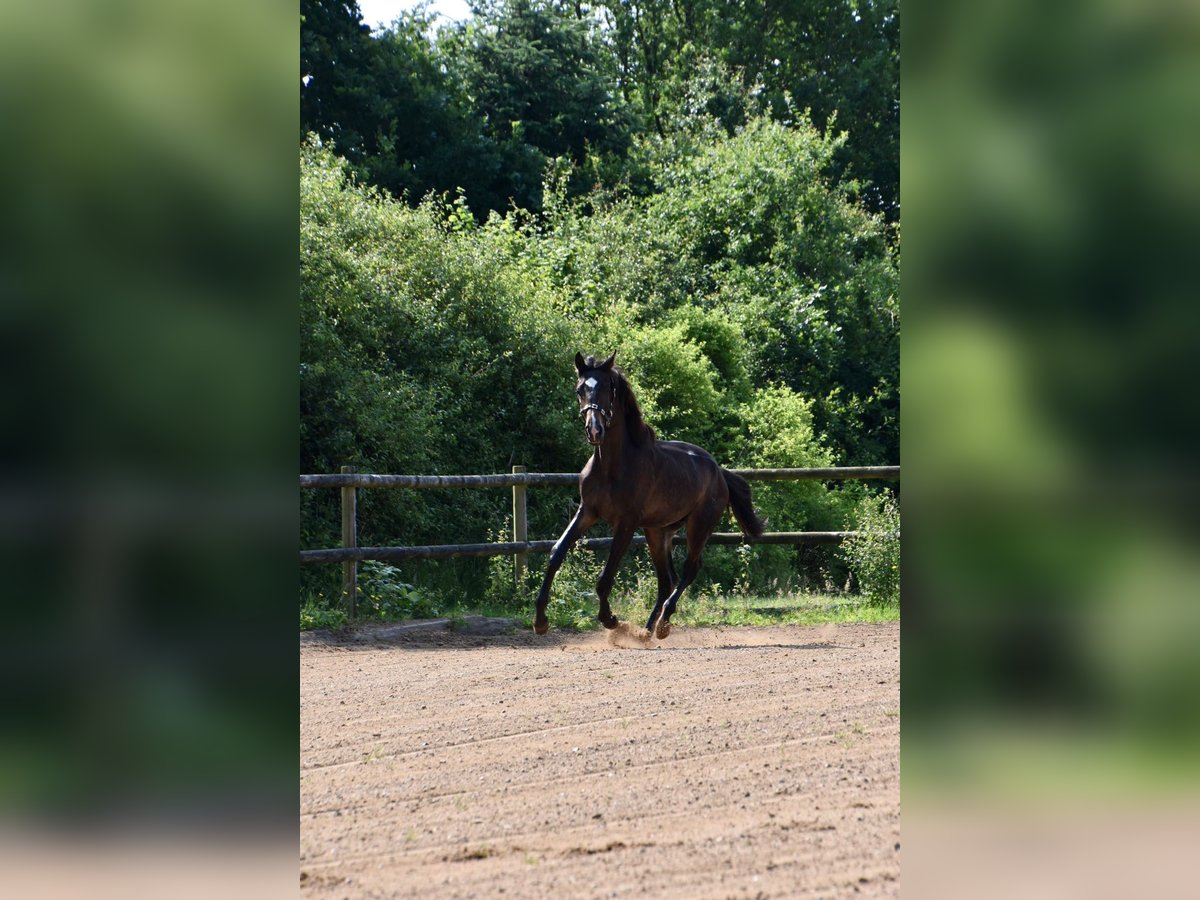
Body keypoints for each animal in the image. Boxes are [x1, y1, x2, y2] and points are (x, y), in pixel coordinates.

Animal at [532, 352, 763, 643]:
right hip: (657, 531)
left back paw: (662, 624)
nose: (594, 431)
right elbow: (556, 553)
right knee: (667, 579)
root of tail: (719, 471)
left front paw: (610, 620)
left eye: (608, 388)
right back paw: (646, 631)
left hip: (699, 526)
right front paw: (540, 622)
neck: (611, 465)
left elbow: (605, 576)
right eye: (580, 390)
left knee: (689, 569)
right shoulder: (587, 512)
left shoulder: (626, 523)